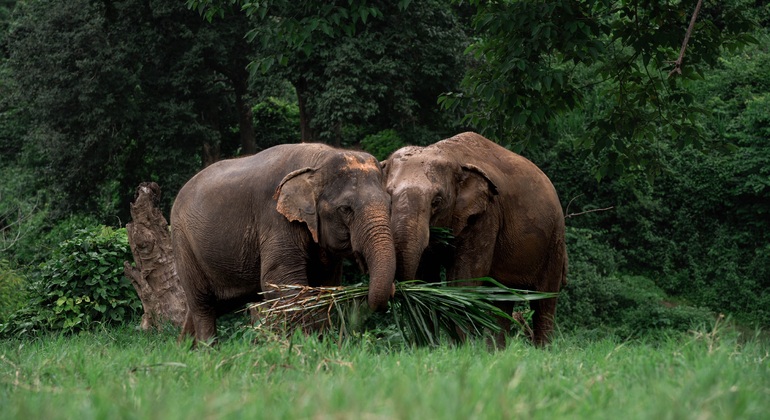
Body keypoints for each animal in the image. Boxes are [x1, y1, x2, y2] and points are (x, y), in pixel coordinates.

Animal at [171, 143, 396, 344]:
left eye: (389, 204)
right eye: (345, 209)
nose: (395, 289)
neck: (318, 160)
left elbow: (325, 286)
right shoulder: (275, 218)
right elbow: (279, 281)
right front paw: (303, 345)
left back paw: (184, 349)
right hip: (183, 242)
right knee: (203, 305)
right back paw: (208, 350)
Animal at [382, 132, 568, 346]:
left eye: (437, 201)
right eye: (389, 197)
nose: (395, 290)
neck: (450, 155)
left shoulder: (486, 215)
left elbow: (464, 279)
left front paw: (462, 348)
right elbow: (425, 274)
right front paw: (429, 347)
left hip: (554, 240)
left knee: (544, 301)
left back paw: (542, 349)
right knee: (501, 300)